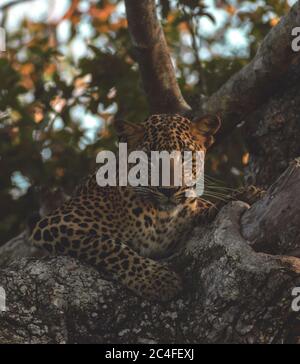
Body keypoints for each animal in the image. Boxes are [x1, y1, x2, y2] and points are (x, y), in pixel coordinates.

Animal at [27, 114, 262, 302]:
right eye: (150, 156)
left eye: (186, 154)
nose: (169, 189)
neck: (161, 217)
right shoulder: (56, 223)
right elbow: (111, 247)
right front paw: (159, 281)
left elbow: (205, 208)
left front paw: (244, 194)